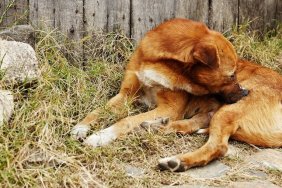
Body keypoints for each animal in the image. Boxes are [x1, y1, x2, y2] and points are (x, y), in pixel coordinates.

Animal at [70, 18, 247, 148]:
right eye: (231, 75)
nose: (246, 92)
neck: (162, 65)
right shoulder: (126, 94)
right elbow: (98, 111)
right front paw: (81, 127)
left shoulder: (170, 108)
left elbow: (127, 120)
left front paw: (101, 136)